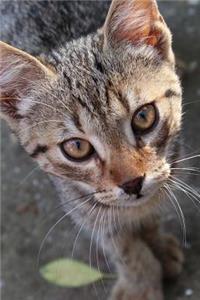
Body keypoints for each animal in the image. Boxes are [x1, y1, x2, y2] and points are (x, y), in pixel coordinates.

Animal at [0, 0, 185, 300]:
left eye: (144, 116)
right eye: (77, 147)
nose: (133, 183)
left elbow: (148, 211)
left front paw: (153, 242)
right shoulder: (78, 199)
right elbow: (119, 243)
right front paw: (140, 280)